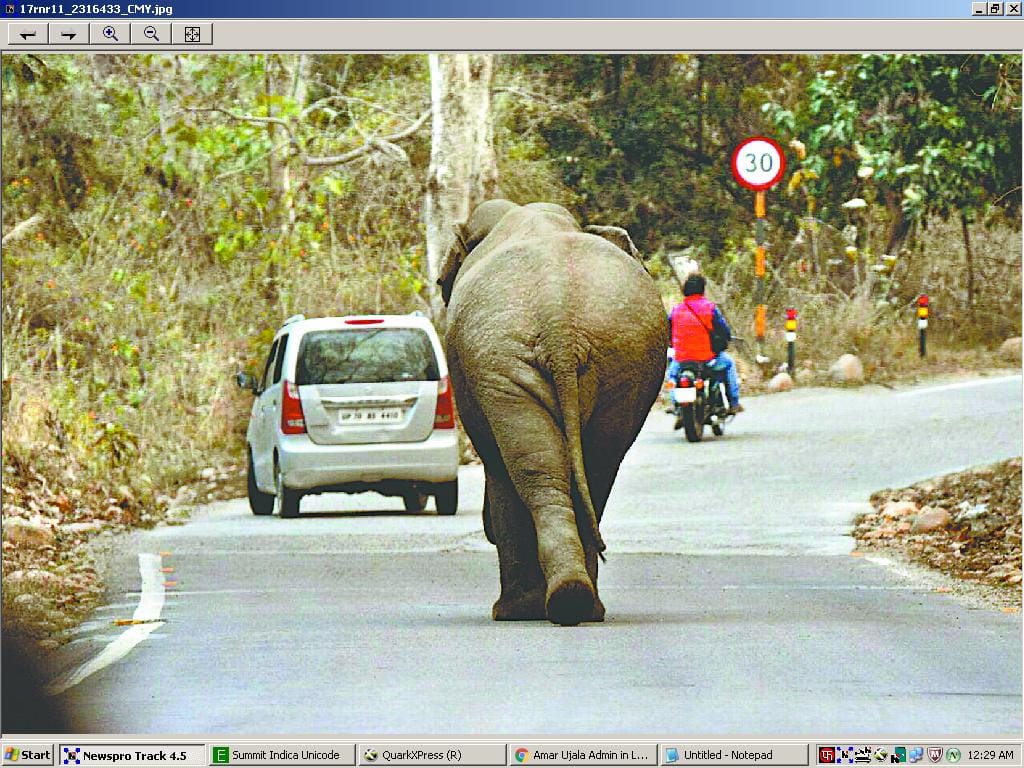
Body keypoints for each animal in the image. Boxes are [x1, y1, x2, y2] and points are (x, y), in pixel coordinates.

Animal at [437, 199, 666, 626]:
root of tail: (560, 323)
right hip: (617, 356)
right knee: (592, 469)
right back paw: (577, 603)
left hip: (508, 356)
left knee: (533, 472)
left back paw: (533, 609)